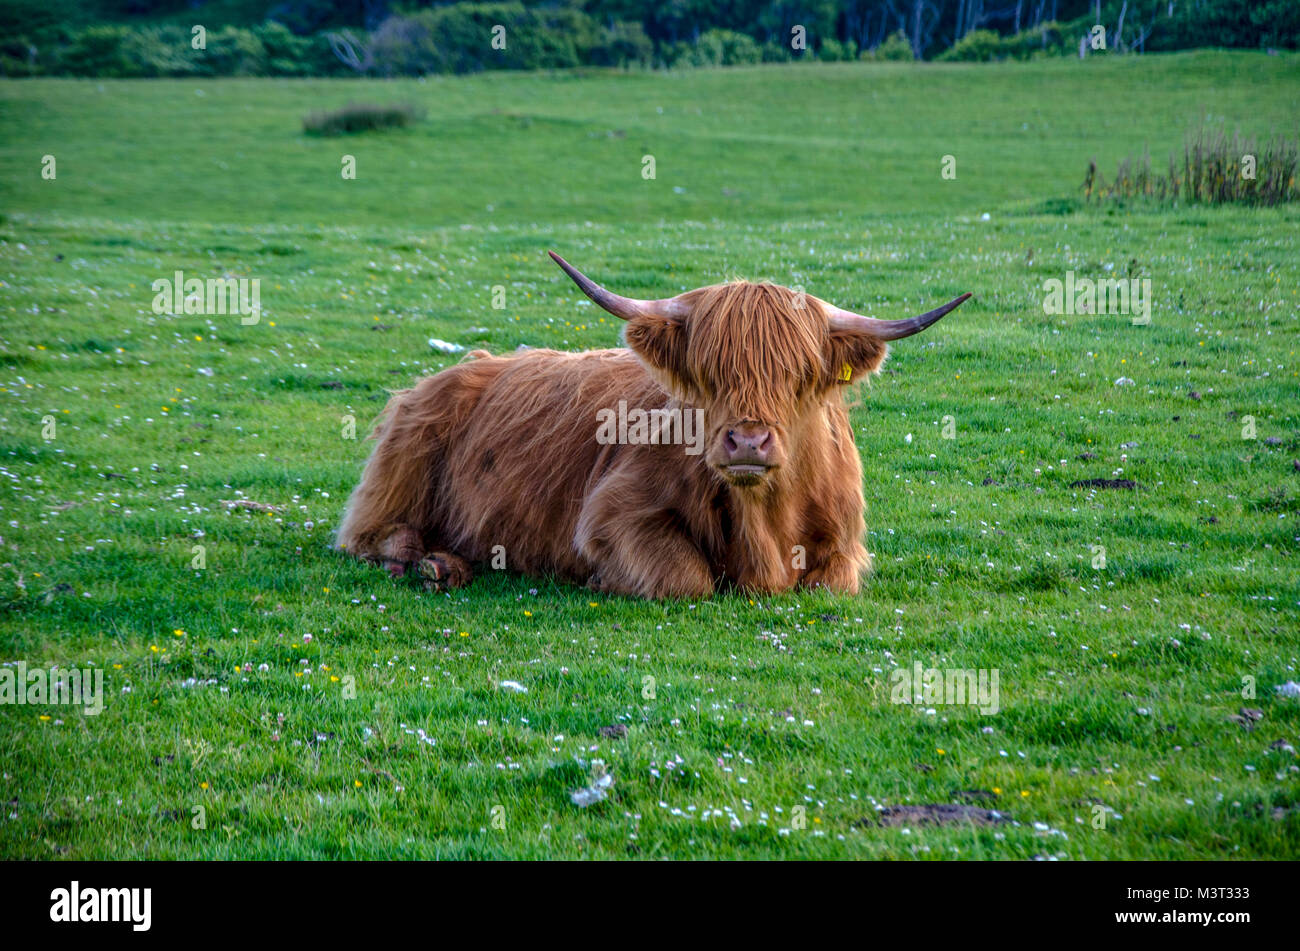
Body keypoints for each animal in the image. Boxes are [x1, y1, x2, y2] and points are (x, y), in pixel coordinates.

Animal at [335, 252, 970, 599]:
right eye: (708, 373)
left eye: (799, 375)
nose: (747, 441)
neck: (764, 520)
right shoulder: (609, 515)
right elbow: (687, 576)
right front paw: (599, 579)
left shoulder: (843, 545)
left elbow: (829, 579)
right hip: (398, 472)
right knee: (369, 534)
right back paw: (427, 563)